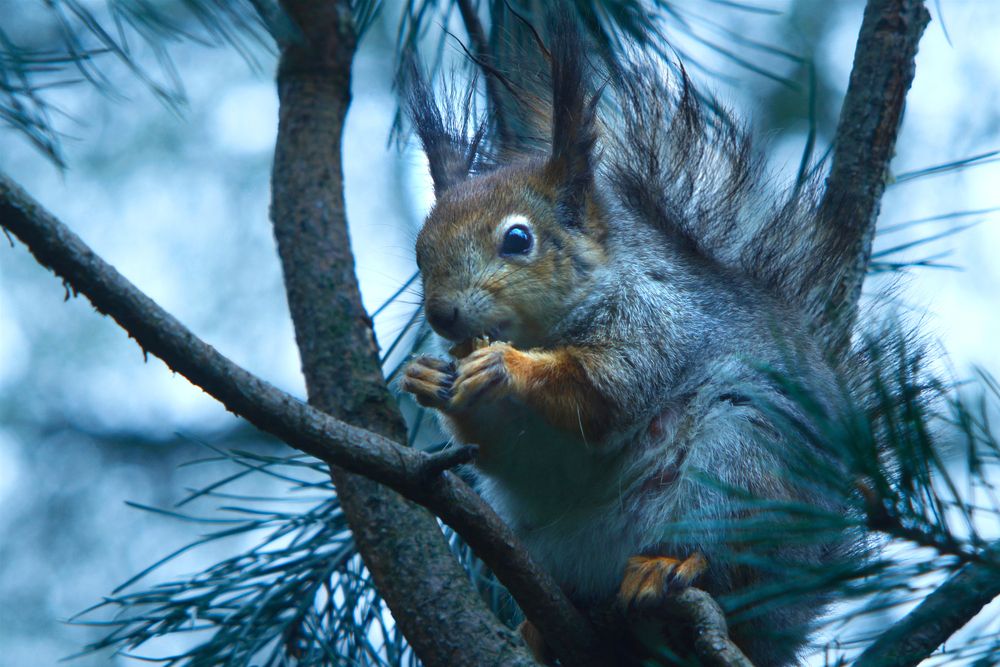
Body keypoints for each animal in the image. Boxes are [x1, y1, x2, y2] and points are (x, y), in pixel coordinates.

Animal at [400, 13, 854, 667]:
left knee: (729, 562)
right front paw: (428, 377)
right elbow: (513, 452)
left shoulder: (660, 324)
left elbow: (602, 394)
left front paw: (508, 367)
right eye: (420, 250)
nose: (442, 315)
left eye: (518, 239)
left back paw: (670, 565)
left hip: (745, 462)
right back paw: (546, 628)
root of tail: (790, 619)